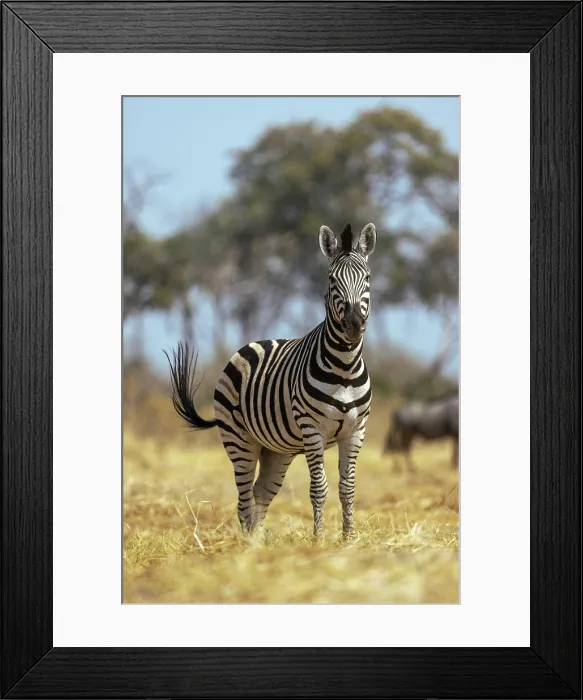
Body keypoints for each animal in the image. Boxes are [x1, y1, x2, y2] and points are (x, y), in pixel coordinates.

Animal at [166, 222, 376, 539]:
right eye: (331, 280)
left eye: (367, 277)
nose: (353, 324)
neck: (345, 368)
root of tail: (252, 344)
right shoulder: (312, 430)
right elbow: (319, 489)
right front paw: (319, 539)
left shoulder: (355, 431)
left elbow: (347, 489)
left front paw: (349, 539)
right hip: (239, 440)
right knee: (244, 500)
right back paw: (249, 545)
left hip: (277, 450)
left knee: (260, 494)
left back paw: (259, 542)